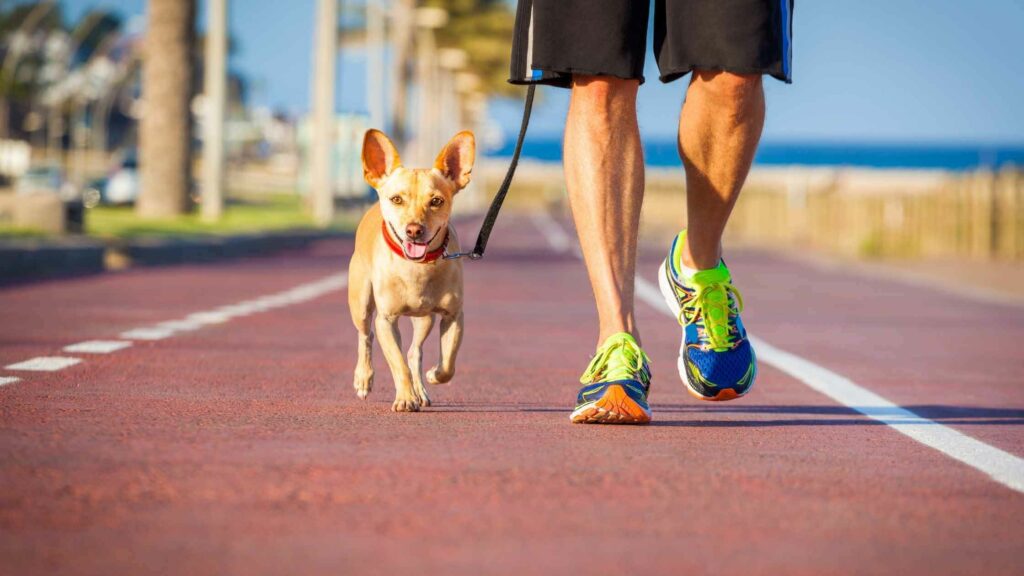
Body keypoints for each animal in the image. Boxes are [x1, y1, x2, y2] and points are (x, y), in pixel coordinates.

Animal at [344, 128, 471, 409]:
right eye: (396, 199)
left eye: (436, 201)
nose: (414, 230)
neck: (417, 268)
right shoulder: (386, 320)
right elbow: (397, 364)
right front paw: (404, 398)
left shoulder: (453, 316)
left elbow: (448, 363)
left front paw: (434, 375)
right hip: (361, 303)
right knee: (365, 336)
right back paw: (363, 378)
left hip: (425, 319)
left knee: (414, 351)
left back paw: (420, 390)